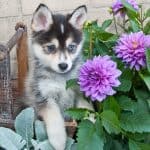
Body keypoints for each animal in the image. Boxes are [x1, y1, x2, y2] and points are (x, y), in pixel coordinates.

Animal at [24, 3, 92, 150]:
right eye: (50, 47)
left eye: (71, 47)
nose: (63, 65)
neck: (61, 79)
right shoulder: (43, 96)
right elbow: (54, 116)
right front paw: (59, 140)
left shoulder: (78, 91)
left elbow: (87, 108)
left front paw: (94, 120)